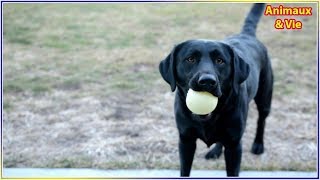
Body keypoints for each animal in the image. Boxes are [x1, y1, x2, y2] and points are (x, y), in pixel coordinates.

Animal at [159, 3, 272, 176]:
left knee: (262, 120)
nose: (207, 81)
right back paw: (216, 151)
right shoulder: (185, 141)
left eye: (220, 61)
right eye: (190, 59)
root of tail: (246, 35)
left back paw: (258, 145)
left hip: (265, 97)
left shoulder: (234, 146)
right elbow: (185, 170)